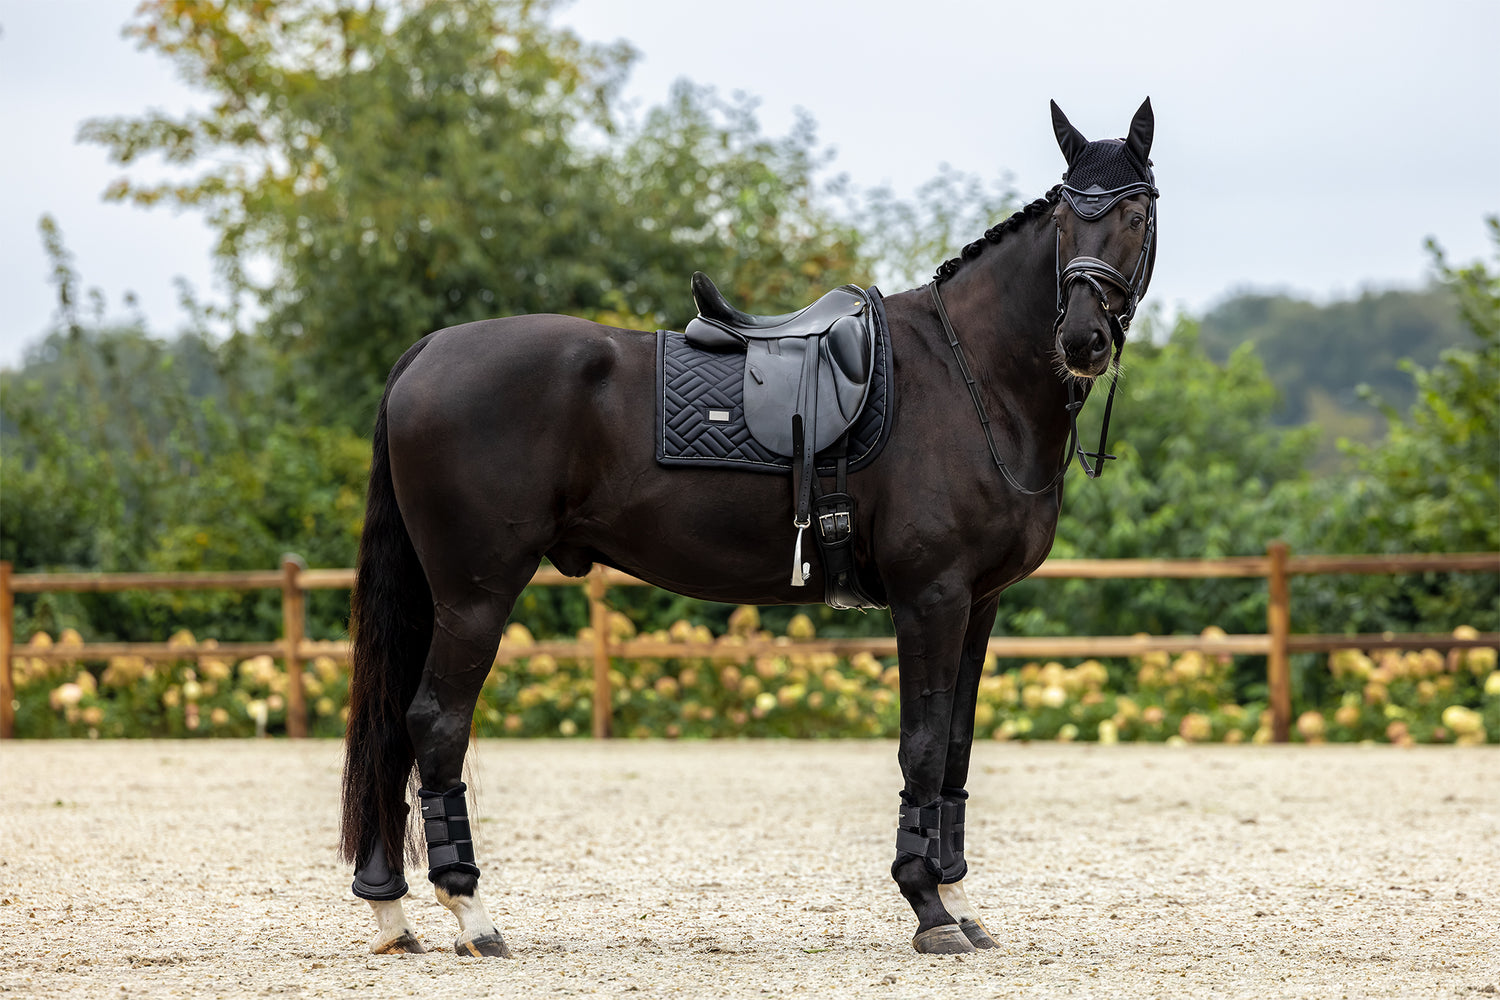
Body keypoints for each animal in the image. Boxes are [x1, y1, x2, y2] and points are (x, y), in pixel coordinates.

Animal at [337, 97, 1158, 959]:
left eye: (1134, 215)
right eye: (1067, 218)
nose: (1080, 340)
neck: (968, 374)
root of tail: (428, 352)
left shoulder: (979, 604)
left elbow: (958, 749)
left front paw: (960, 902)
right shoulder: (930, 598)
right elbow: (925, 746)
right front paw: (928, 906)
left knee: (394, 727)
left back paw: (392, 912)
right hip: (476, 593)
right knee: (435, 723)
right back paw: (471, 912)